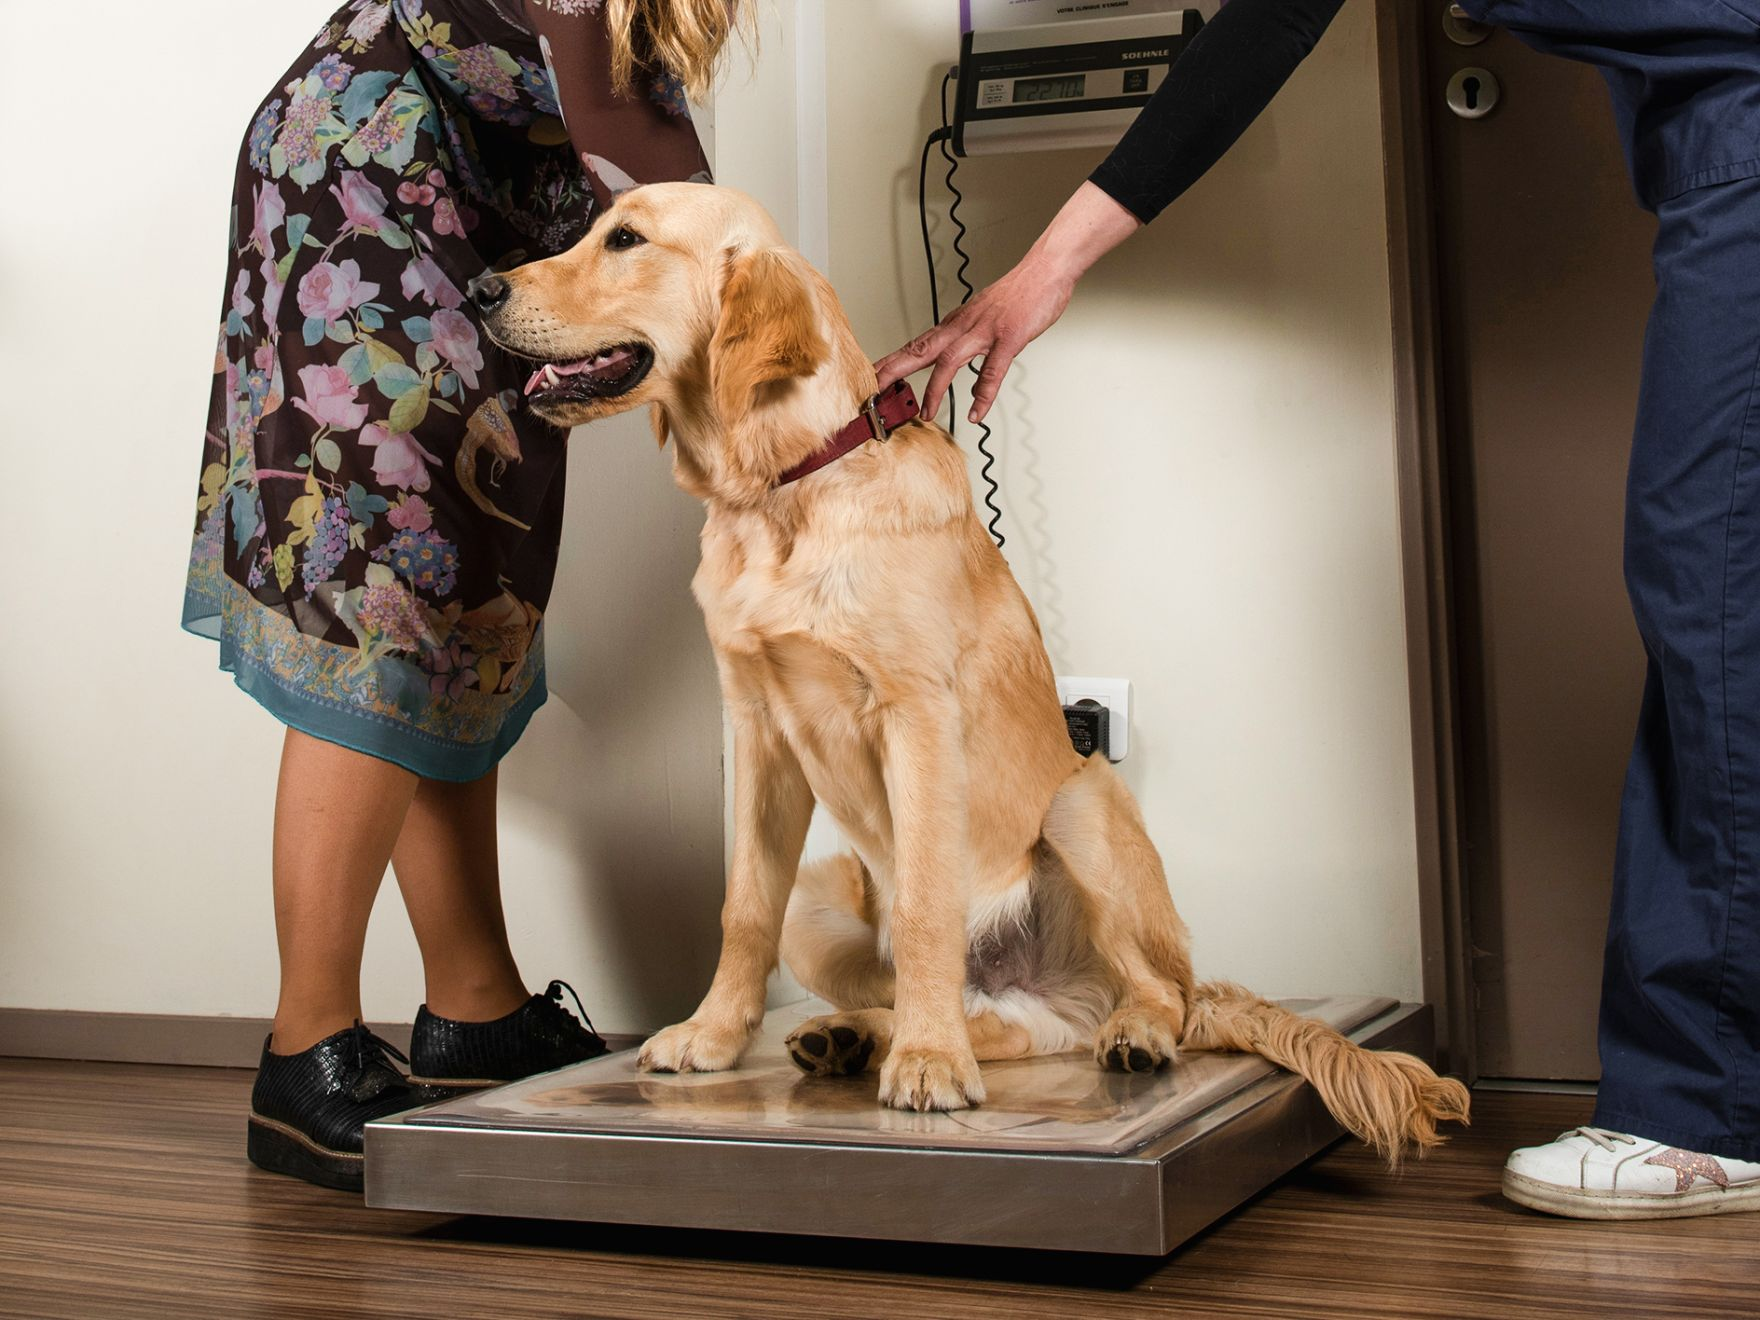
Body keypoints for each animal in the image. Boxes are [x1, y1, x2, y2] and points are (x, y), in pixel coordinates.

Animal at [478, 183, 1471, 1154]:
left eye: (626, 240)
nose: (484, 287)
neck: (787, 491)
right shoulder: (757, 729)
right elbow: (743, 907)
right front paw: (716, 1036)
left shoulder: (916, 716)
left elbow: (926, 907)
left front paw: (926, 1064)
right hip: (827, 906)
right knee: (1005, 1019)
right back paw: (852, 1035)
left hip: (1081, 806)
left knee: (1161, 995)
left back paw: (1112, 1035)